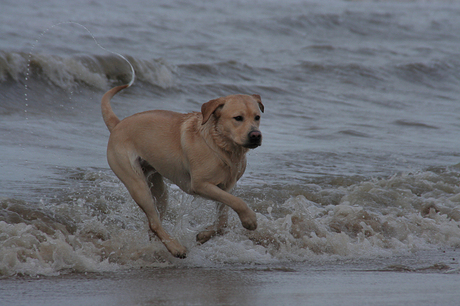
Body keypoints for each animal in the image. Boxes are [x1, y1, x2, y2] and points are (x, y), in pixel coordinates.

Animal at [102, 84, 264, 258]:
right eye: (238, 118)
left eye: (257, 117)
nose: (256, 135)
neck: (221, 146)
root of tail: (118, 124)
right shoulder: (200, 185)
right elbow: (238, 202)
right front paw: (249, 219)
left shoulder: (226, 187)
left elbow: (224, 220)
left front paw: (204, 235)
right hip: (137, 184)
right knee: (154, 223)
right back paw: (175, 248)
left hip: (159, 191)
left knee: (153, 223)